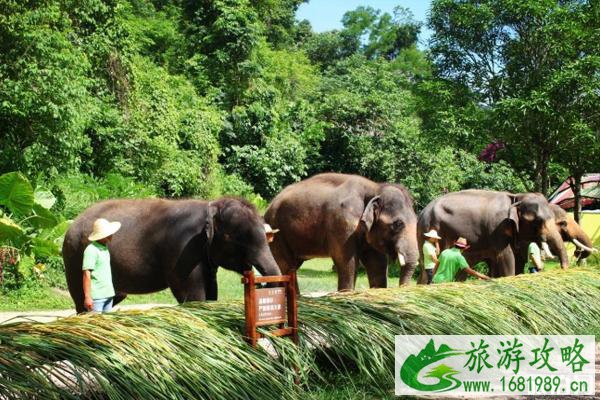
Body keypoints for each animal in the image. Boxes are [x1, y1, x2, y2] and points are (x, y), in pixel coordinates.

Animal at [63, 197, 282, 312]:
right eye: (232, 238)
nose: (260, 281)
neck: (210, 206)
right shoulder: (183, 251)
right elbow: (192, 295)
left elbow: (212, 292)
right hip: (75, 258)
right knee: (83, 302)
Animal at [262, 172, 418, 290]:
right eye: (397, 224)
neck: (375, 187)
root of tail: (269, 206)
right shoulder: (342, 223)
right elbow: (347, 262)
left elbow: (377, 263)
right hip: (277, 231)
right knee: (286, 266)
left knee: (292, 266)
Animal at [418, 191, 568, 282]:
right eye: (538, 221)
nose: (563, 269)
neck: (516, 197)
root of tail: (422, 212)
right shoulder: (497, 228)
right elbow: (506, 257)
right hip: (432, 229)